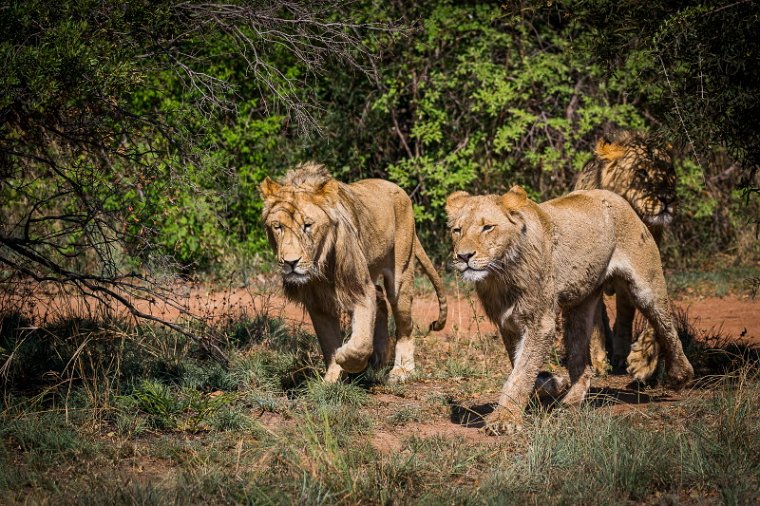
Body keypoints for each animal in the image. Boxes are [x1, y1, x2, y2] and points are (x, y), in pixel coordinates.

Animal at [262, 164, 448, 382]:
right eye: (278, 227)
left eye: (307, 225)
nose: (291, 262)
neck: (321, 267)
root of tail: (400, 190)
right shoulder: (316, 302)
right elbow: (329, 343)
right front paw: (330, 380)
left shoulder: (360, 288)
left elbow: (360, 342)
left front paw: (346, 359)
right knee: (380, 299)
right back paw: (379, 359)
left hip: (400, 277)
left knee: (405, 326)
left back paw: (402, 370)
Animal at [446, 186, 696, 434]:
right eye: (457, 230)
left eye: (487, 227)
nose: (463, 256)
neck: (500, 276)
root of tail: (614, 195)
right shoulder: (509, 323)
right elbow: (520, 366)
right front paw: (552, 383)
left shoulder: (540, 322)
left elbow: (521, 372)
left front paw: (504, 418)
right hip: (580, 305)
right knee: (583, 364)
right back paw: (569, 403)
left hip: (646, 286)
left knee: (666, 325)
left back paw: (678, 374)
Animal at [576, 129, 676, 376]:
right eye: (641, 171)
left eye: (670, 172)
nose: (668, 199)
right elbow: (593, 324)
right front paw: (599, 361)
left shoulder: (649, 271)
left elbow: (660, 317)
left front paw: (643, 360)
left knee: (624, 314)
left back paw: (621, 353)